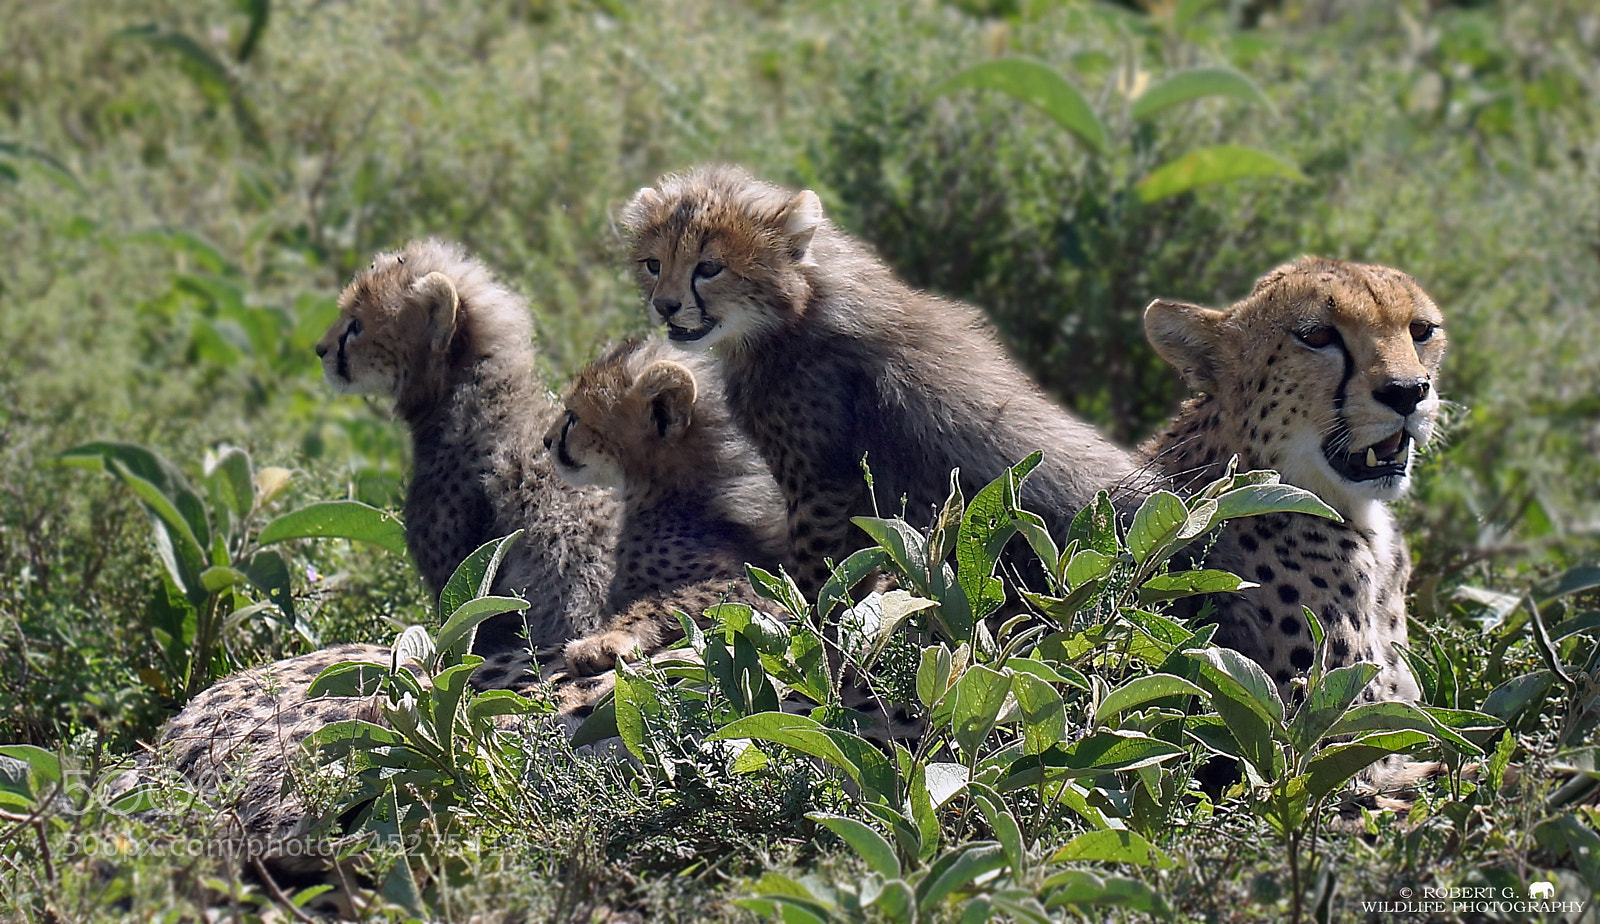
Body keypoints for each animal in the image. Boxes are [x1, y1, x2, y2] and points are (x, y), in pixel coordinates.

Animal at [619, 165, 1141, 596]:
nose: (664, 307)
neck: (794, 315)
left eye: (709, 267)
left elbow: (820, 581)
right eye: (653, 264)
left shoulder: (824, 487)